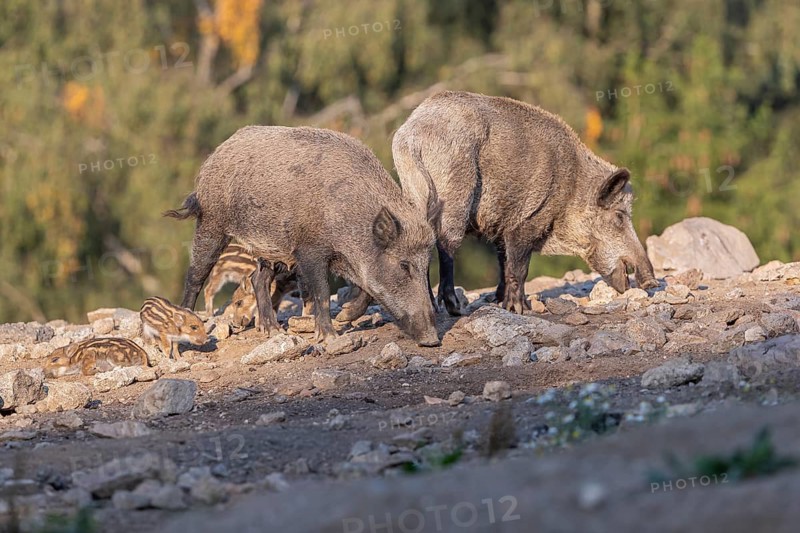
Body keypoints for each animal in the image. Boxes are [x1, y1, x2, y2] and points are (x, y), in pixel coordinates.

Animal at [164, 126, 441, 346]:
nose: (432, 340)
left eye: (426, 265)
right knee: (195, 275)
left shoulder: (347, 260)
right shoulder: (309, 250)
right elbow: (322, 291)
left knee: (258, 278)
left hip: (269, 247)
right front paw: (330, 336)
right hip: (212, 222)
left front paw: (344, 316)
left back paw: (273, 330)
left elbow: (367, 290)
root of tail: (215, 156)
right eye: (404, 265)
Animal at [392, 91, 658, 316]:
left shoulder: (501, 224)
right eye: (620, 216)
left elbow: (503, 261)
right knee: (446, 244)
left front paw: (500, 301)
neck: (571, 189)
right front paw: (520, 310)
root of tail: (411, 136)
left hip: (414, 191)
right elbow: (519, 267)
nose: (652, 282)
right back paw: (455, 308)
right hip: (454, 192)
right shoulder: (528, 219)